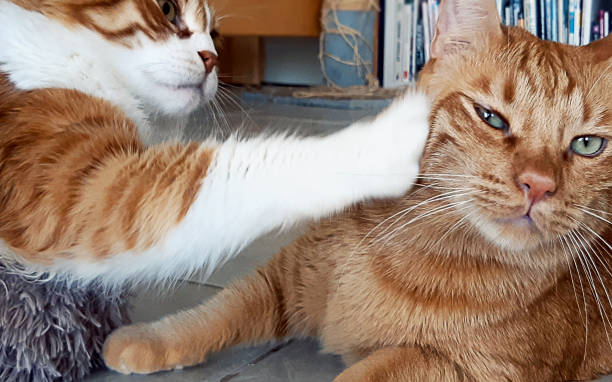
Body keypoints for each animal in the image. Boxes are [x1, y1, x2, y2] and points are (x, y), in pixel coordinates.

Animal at [103, 1, 612, 380]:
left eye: (587, 144)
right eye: (491, 118)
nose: (538, 185)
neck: (414, 246)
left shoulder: (463, 368)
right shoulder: (285, 275)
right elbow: (216, 311)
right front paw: (148, 339)